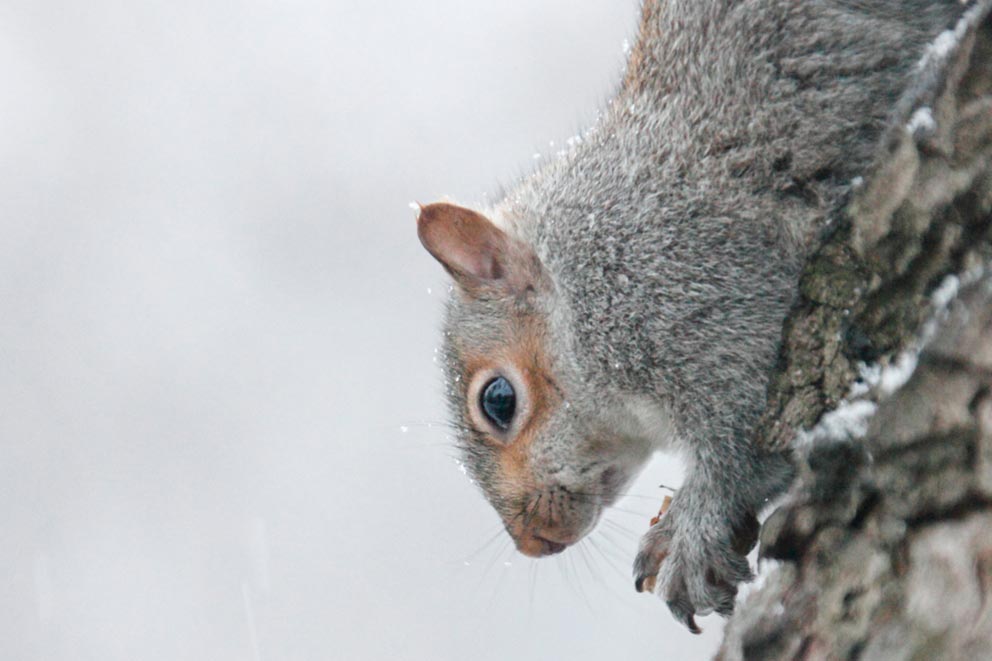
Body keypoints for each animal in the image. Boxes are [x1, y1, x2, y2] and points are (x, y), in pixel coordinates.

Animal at [416, 0, 962, 633]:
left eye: (498, 401)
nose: (533, 542)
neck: (585, 276)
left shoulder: (697, 292)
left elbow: (744, 435)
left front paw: (693, 528)